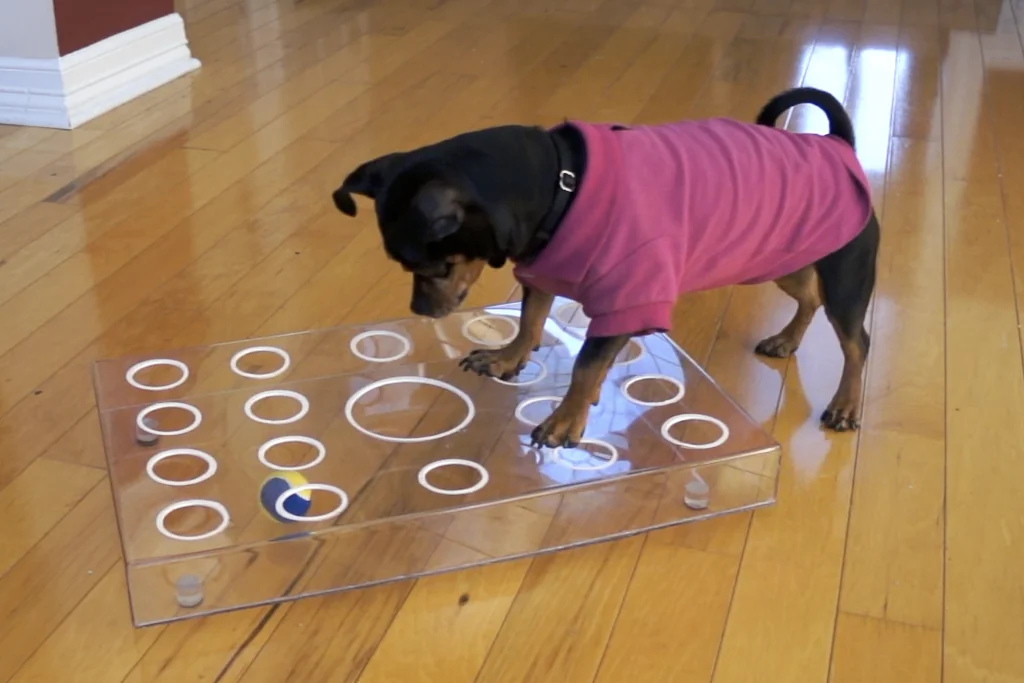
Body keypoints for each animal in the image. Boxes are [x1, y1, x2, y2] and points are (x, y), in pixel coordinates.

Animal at [331, 87, 876, 448]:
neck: (562, 183)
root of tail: (838, 144)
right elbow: (531, 323)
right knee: (809, 297)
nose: (420, 310)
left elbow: (586, 364)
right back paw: (786, 339)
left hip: (845, 274)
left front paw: (566, 419)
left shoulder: (627, 299)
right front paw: (508, 359)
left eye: (438, 266)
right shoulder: (542, 270)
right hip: (784, 257)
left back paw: (846, 404)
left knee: (856, 341)